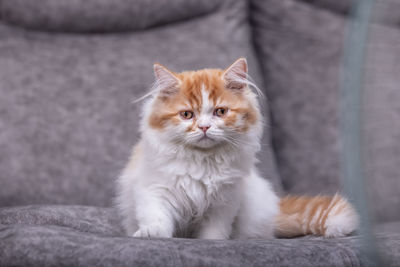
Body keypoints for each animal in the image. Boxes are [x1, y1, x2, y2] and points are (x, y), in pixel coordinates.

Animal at [116, 58, 360, 239]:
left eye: (220, 112)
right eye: (187, 114)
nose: (204, 127)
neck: (203, 161)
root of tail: (273, 207)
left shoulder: (223, 202)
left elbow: (214, 232)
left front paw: (212, 242)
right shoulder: (155, 189)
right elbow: (156, 216)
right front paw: (151, 234)